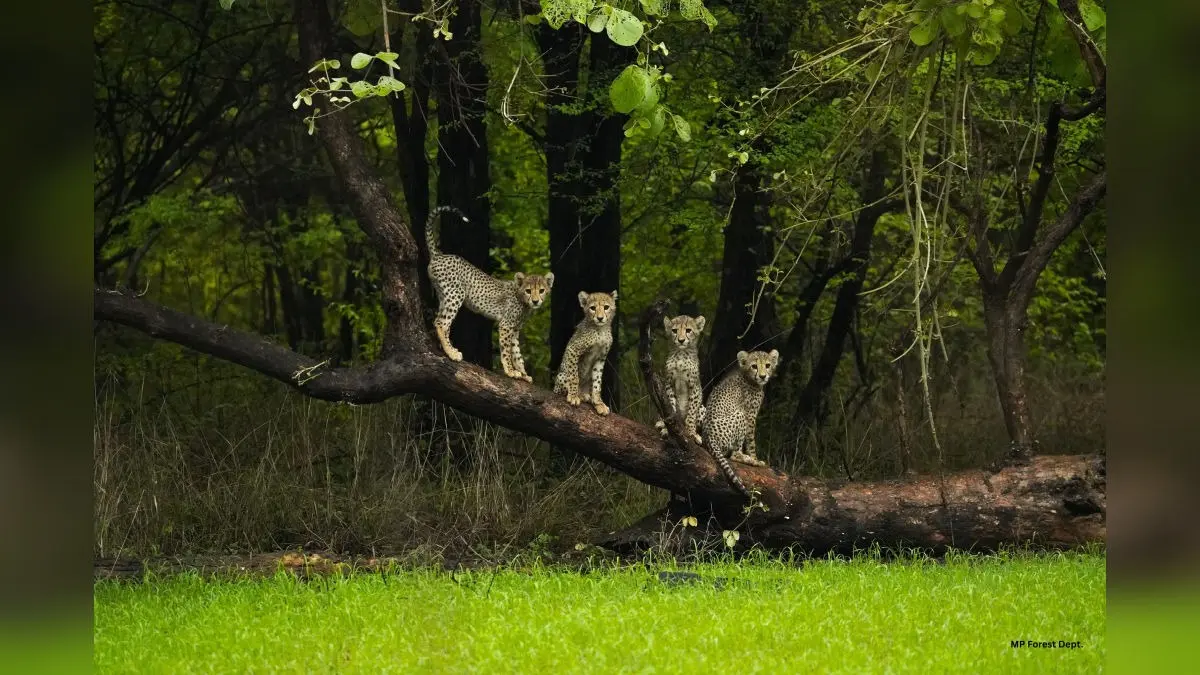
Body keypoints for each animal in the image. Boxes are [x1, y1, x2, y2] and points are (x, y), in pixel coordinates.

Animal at [425, 205, 553, 382]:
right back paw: (451, 353)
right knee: (441, 322)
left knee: (443, 322)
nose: (535, 301)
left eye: (541, 291)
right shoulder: (506, 325)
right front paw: (510, 371)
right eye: (528, 291)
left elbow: (517, 353)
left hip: (444, 295)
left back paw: (450, 348)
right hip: (456, 294)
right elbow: (506, 351)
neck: (523, 301)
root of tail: (440, 254)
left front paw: (524, 374)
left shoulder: (515, 329)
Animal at [652, 314, 707, 444]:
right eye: (674, 331)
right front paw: (669, 427)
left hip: (703, 408)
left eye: (688, 330)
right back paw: (662, 425)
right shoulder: (668, 383)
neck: (681, 353)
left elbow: (691, 412)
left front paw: (691, 432)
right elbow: (671, 405)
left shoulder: (694, 386)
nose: (681, 340)